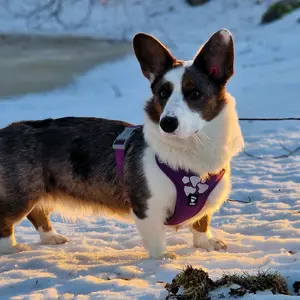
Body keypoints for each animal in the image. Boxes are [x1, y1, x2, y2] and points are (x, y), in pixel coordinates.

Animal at [0, 29, 244, 258]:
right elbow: (156, 238)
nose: (167, 123)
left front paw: (206, 243)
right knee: (7, 220)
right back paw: (11, 249)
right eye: (162, 93)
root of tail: (5, 131)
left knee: (37, 213)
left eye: (194, 93)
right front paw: (163, 258)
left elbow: (201, 223)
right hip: (21, 195)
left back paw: (51, 237)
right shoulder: (147, 207)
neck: (192, 148)